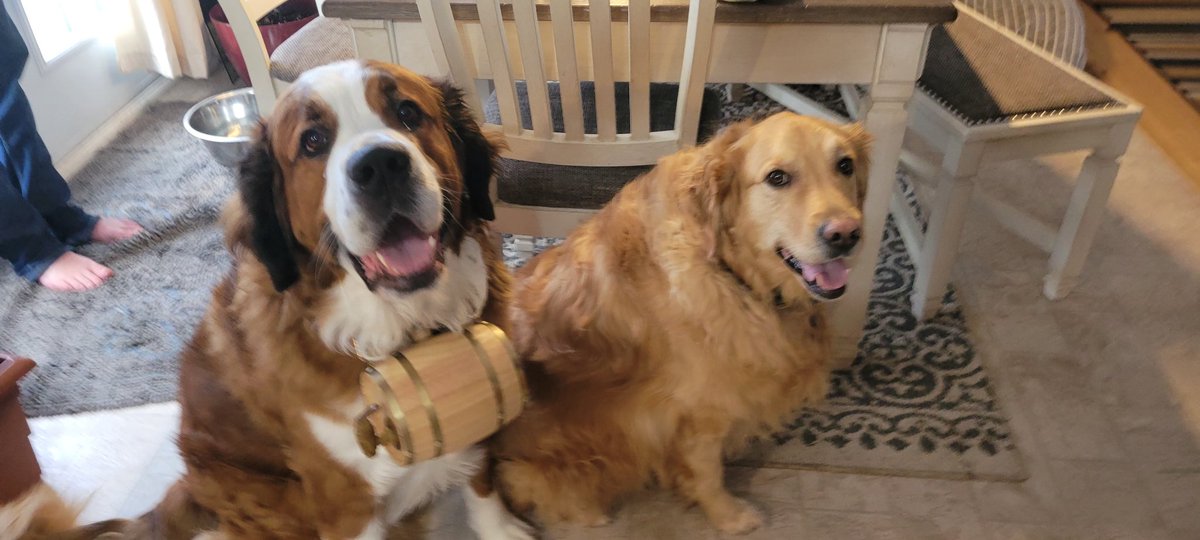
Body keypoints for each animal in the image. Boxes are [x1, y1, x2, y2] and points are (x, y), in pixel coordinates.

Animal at [10, 61, 535, 537]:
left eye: (408, 113)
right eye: (313, 142)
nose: (381, 165)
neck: (404, 329)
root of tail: (189, 487)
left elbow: (482, 484)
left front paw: (500, 528)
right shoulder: (342, 500)